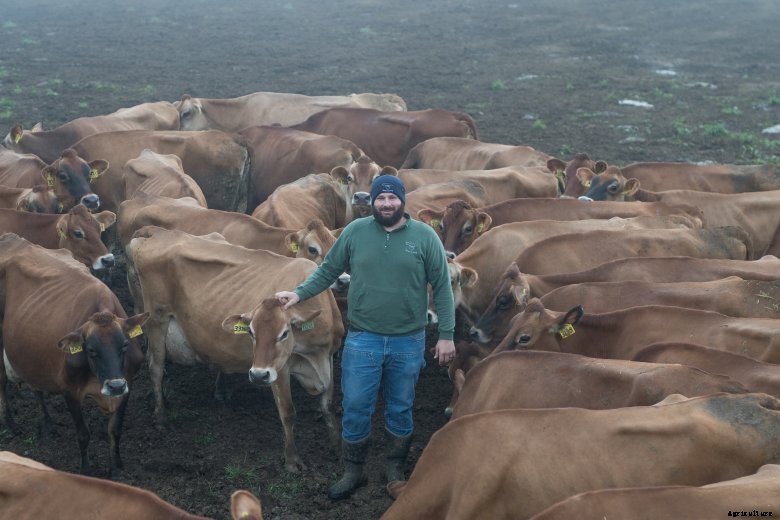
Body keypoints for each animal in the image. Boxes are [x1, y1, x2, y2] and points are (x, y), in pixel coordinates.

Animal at [0, 234, 149, 476]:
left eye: (125, 345)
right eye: (91, 350)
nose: (115, 386)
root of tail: (12, 239)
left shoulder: (128, 384)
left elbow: (115, 430)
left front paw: (116, 467)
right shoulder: (70, 391)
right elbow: (83, 434)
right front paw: (85, 469)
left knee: (35, 384)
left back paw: (47, 422)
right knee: (3, 380)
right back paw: (9, 422)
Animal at [126, 227, 345, 472]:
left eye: (284, 333)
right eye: (250, 332)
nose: (258, 375)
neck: (314, 355)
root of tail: (155, 235)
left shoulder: (328, 357)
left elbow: (328, 406)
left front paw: (337, 449)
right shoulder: (279, 369)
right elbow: (288, 412)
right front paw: (292, 460)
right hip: (157, 319)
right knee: (155, 368)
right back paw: (162, 416)